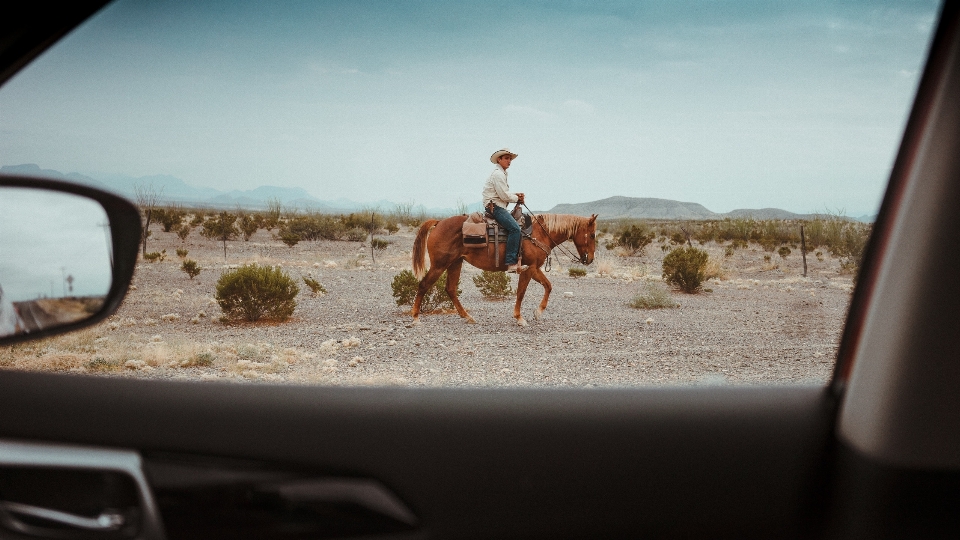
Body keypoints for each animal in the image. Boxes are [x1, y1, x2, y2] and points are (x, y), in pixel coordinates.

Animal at [410, 212, 596, 324]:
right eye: (593, 235)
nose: (590, 259)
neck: (539, 234)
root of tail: (439, 222)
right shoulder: (530, 268)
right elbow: (522, 292)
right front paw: (520, 318)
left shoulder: (534, 268)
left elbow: (548, 286)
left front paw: (537, 312)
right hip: (439, 265)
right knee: (424, 285)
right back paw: (416, 317)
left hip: (455, 263)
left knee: (450, 289)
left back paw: (468, 317)